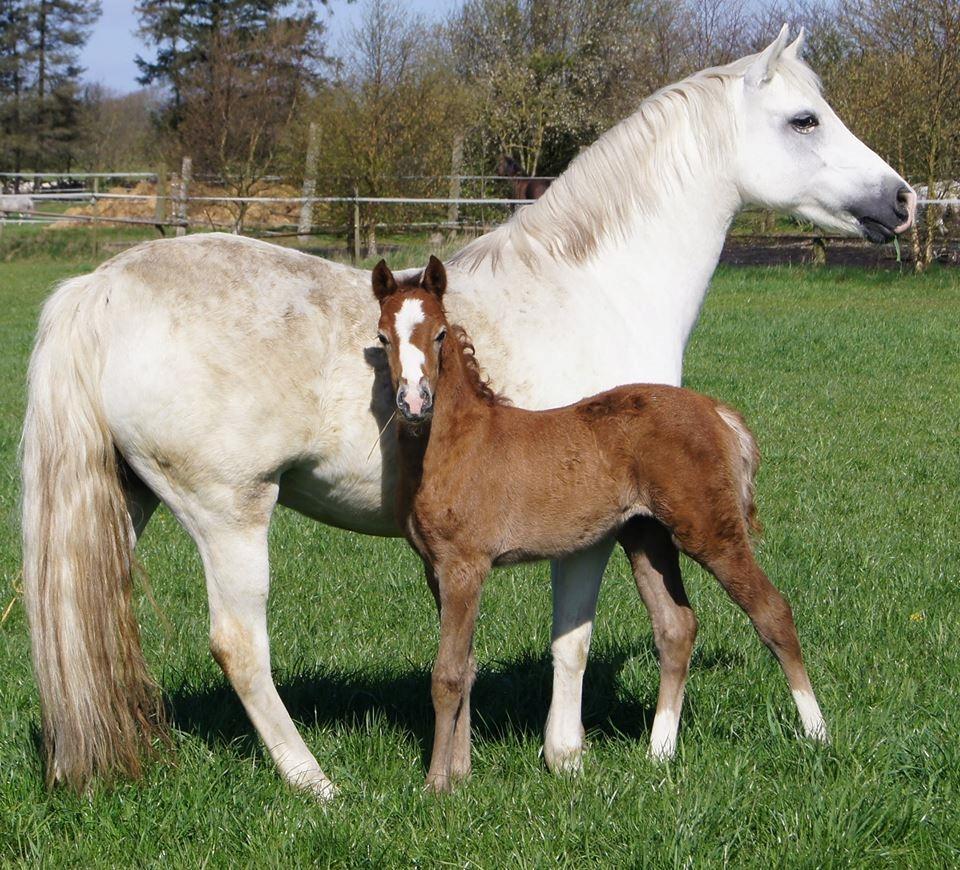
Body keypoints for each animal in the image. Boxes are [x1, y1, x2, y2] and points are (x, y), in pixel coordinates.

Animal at [372, 255, 827, 790]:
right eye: (382, 336)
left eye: (440, 334)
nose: (414, 402)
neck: (459, 443)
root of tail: (715, 410)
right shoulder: (436, 569)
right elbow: (464, 667)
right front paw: (460, 774)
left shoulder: (465, 566)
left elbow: (446, 675)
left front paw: (436, 786)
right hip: (646, 537)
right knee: (676, 626)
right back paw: (659, 753)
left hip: (710, 530)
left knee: (772, 611)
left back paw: (818, 734)